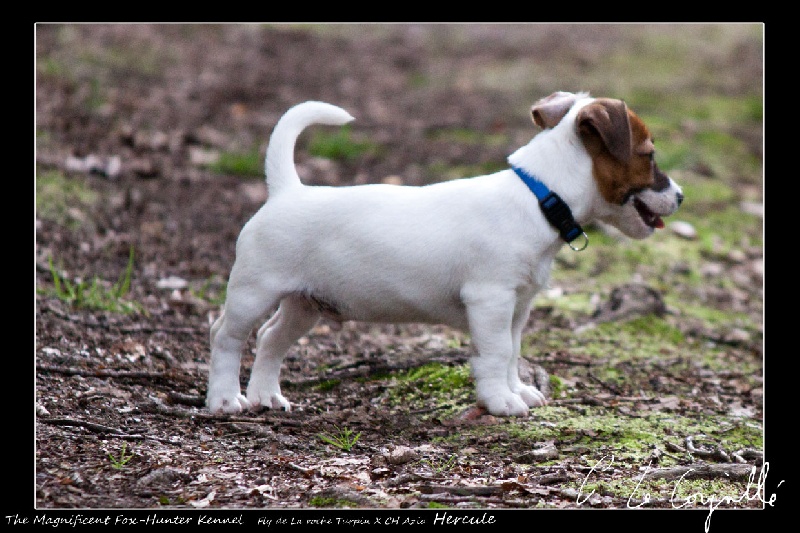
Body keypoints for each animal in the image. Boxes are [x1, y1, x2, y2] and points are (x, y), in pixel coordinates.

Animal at [206, 91, 683, 417]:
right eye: (649, 155)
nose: (680, 196)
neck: (538, 198)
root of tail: (287, 190)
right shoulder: (491, 300)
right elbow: (495, 354)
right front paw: (500, 402)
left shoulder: (518, 306)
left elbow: (512, 352)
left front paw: (515, 391)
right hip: (254, 290)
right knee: (225, 336)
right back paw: (225, 399)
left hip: (306, 303)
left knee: (271, 339)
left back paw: (267, 397)